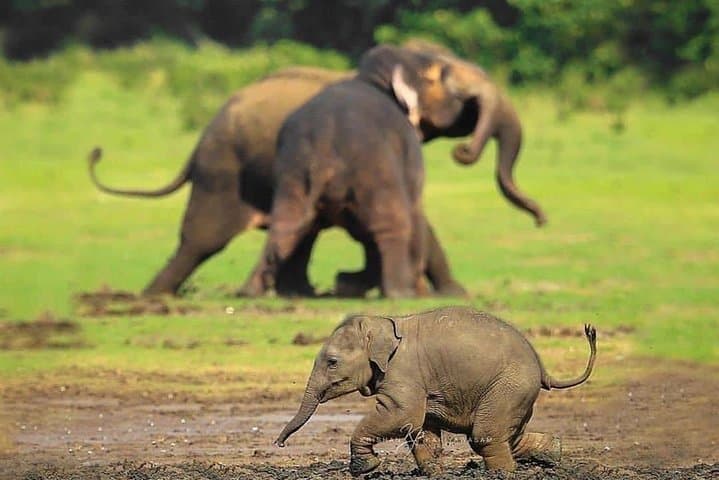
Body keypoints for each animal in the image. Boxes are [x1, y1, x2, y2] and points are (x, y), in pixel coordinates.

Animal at [241, 44, 466, 298]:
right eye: (432, 77)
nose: (460, 101)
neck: (370, 79)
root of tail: (322, 147)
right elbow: (413, 205)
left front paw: (349, 282)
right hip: (373, 167)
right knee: (392, 221)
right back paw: (399, 292)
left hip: (293, 171)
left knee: (285, 222)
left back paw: (249, 290)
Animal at [275, 306, 597, 475]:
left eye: (332, 362)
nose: (279, 444)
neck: (383, 323)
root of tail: (543, 369)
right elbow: (421, 428)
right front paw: (431, 474)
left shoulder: (403, 373)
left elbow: (402, 415)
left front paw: (365, 468)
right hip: (516, 393)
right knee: (508, 435)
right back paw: (553, 454)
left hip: (509, 385)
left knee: (485, 436)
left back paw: (502, 474)